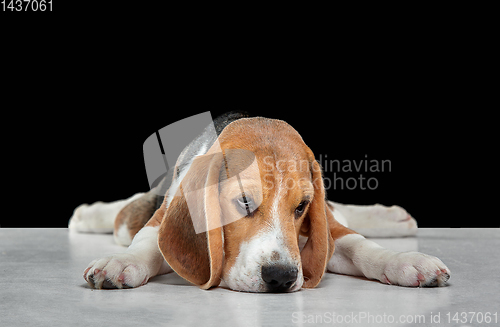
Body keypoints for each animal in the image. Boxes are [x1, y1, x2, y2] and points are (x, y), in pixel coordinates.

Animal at [70, 112, 450, 292]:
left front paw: (404, 261)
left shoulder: (320, 227)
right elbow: (147, 243)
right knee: (124, 215)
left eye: (301, 207)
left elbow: (357, 244)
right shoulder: (163, 217)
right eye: (243, 202)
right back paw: (88, 214)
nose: (281, 277)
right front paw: (122, 263)